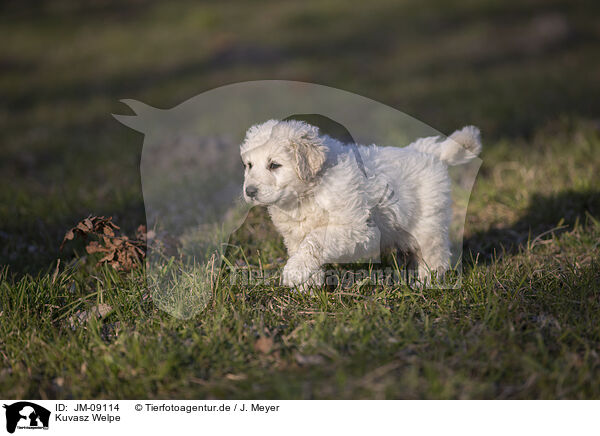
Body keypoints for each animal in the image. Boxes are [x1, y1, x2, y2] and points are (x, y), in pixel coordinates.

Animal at [240, 121, 482, 288]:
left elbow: (315, 241)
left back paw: (426, 282)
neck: (307, 193)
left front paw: (294, 272)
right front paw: (308, 285)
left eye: (274, 165)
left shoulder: (356, 228)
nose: (249, 191)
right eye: (249, 165)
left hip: (428, 223)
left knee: (435, 254)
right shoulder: (294, 234)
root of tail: (428, 151)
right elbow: (303, 248)